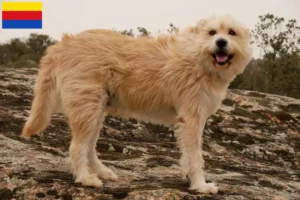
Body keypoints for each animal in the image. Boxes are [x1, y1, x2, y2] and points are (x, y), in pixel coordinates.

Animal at [21, 15, 251, 194]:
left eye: (231, 32)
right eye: (212, 32)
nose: (221, 42)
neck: (198, 57)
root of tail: (61, 45)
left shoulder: (191, 120)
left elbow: (188, 155)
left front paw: (191, 180)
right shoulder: (191, 118)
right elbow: (196, 156)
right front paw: (201, 185)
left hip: (96, 112)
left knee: (89, 147)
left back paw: (102, 172)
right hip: (87, 109)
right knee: (77, 147)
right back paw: (86, 178)